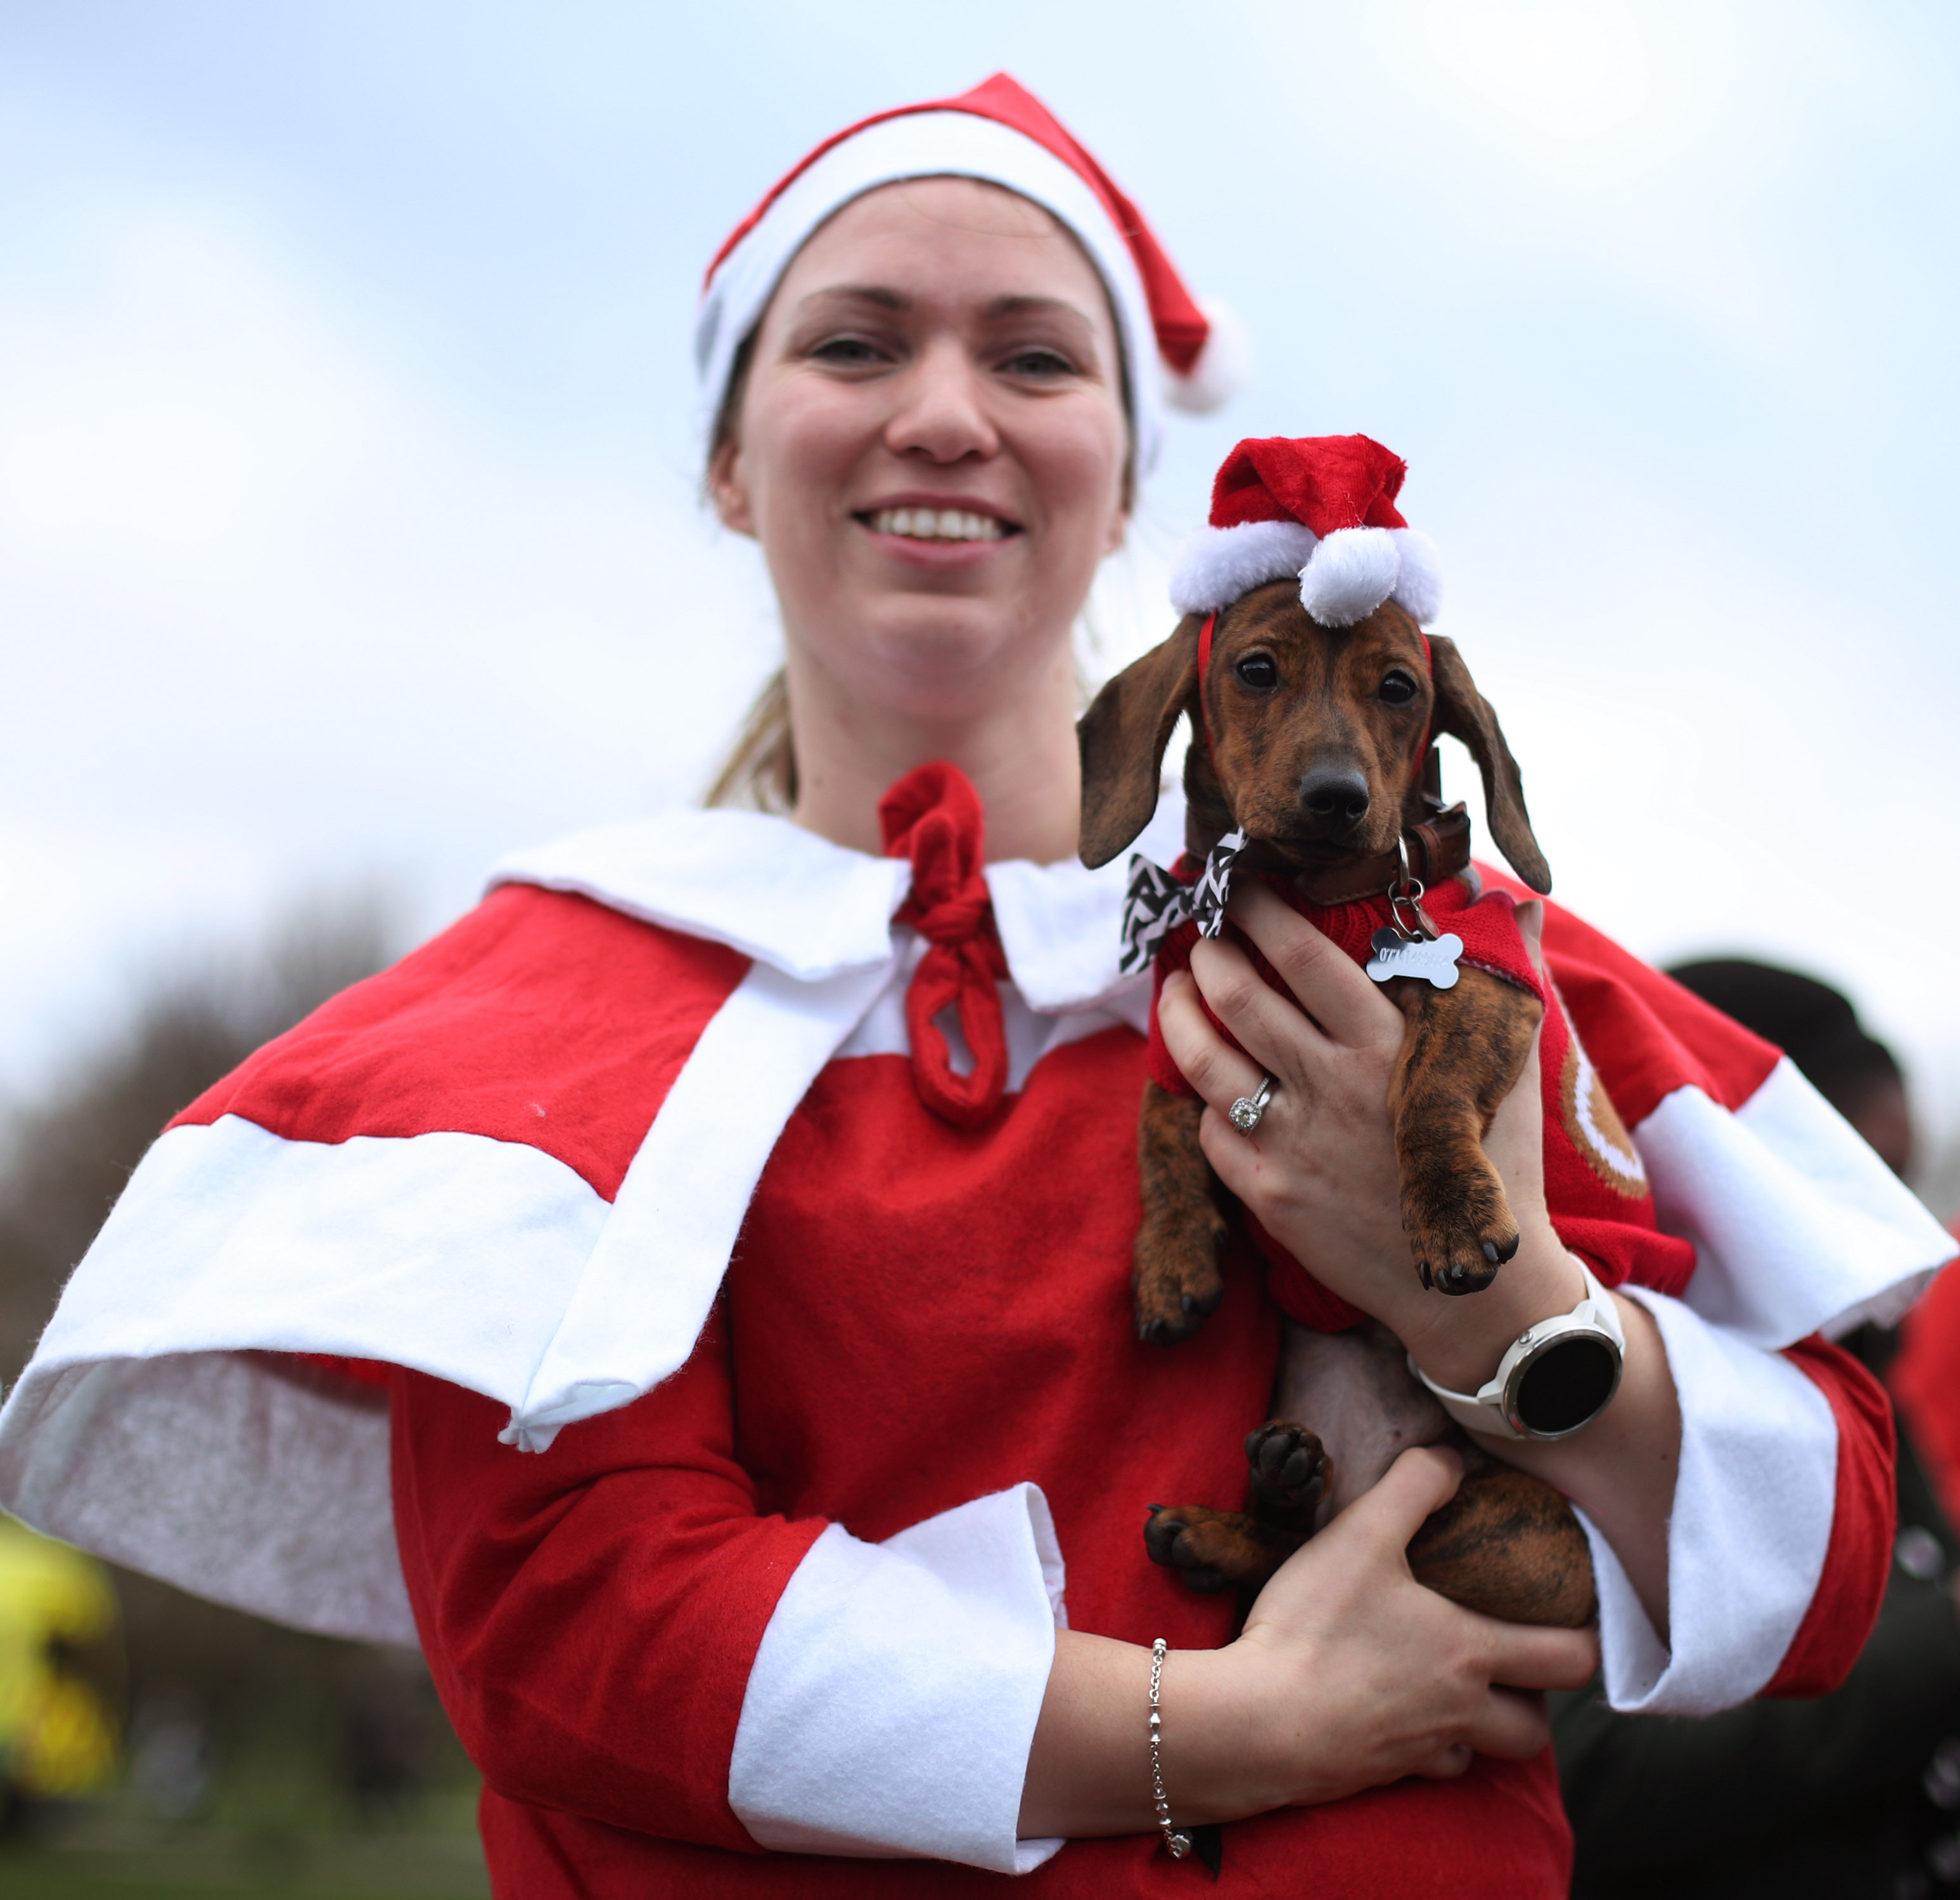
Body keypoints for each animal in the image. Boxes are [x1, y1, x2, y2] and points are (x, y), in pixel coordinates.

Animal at [1082, 584, 1599, 1623]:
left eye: (1399, 688)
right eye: (1255, 669)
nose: (1336, 796)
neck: (1308, 898)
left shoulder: (1484, 984)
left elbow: (1425, 1088)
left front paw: (1449, 1214)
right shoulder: (1177, 1025)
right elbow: (1160, 1137)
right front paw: (1169, 1261)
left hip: (1520, 1536)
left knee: (1351, 1554)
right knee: (1302, 1536)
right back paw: (1250, 1503)